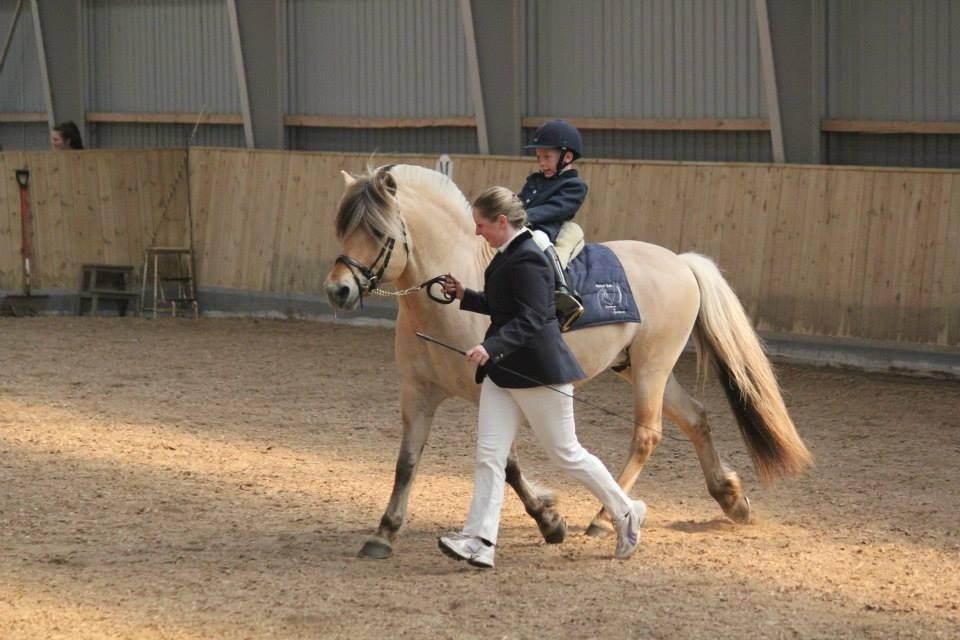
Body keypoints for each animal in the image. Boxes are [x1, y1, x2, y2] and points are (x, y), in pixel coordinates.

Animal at [322, 165, 808, 560]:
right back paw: (730, 499)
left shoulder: (491, 390)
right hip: (641, 367)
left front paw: (550, 521)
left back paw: (604, 519)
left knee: (647, 435)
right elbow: (406, 463)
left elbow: (509, 466)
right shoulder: (418, 394)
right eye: (343, 229)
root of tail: (681, 263)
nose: (338, 291)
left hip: (652, 368)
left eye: (379, 232)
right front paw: (383, 534)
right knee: (695, 418)